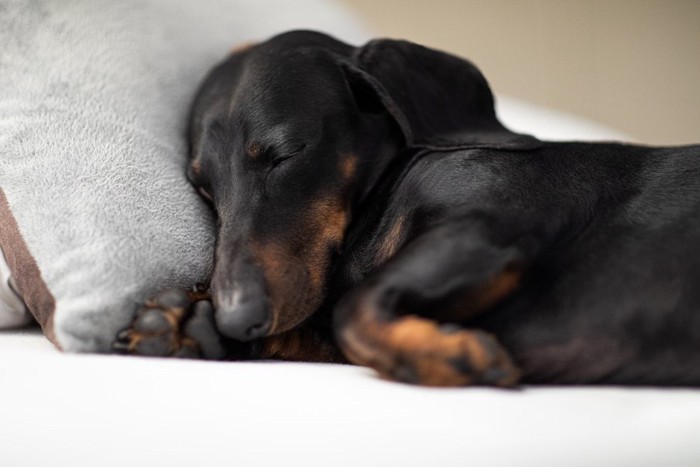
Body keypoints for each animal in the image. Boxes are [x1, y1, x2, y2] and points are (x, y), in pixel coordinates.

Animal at [116, 30, 700, 388]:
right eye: (203, 187)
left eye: (284, 153)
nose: (236, 319)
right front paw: (183, 320)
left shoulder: (491, 227)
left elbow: (353, 312)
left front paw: (451, 356)